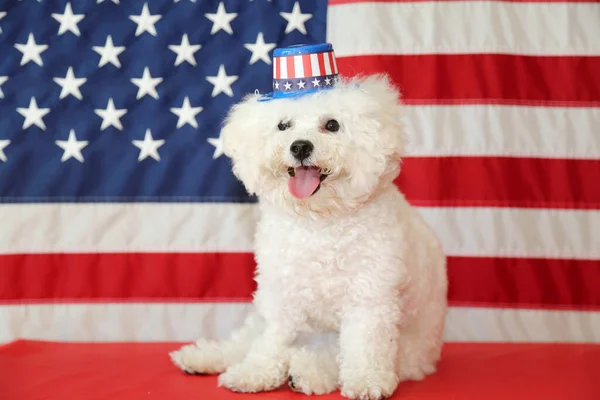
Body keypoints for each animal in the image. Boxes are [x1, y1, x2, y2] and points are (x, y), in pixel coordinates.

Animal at [169, 42, 446, 398]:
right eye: (283, 125)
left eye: (332, 125)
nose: (300, 147)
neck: (320, 222)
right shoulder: (280, 293)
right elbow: (270, 341)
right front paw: (255, 372)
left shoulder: (371, 296)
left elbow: (365, 345)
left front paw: (367, 380)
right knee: (244, 341)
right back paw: (202, 358)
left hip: (411, 352)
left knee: (325, 353)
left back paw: (307, 372)